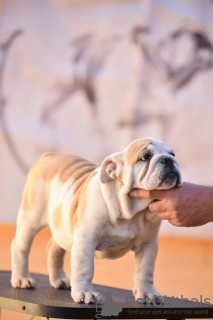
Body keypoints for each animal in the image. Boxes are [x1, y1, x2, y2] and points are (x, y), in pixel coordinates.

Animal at [10, 137, 182, 304]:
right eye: (146, 157)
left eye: (173, 154)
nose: (168, 159)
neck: (131, 211)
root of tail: (49, 156)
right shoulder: (86, 239)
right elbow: (84, 269)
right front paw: (86, 293)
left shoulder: (149, 244)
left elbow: (145, 271)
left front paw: (147, 293)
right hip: (31, 218)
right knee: (20, 247)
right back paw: (22, 278)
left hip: (63, 229)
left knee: (53, 248)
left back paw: (59, 279)